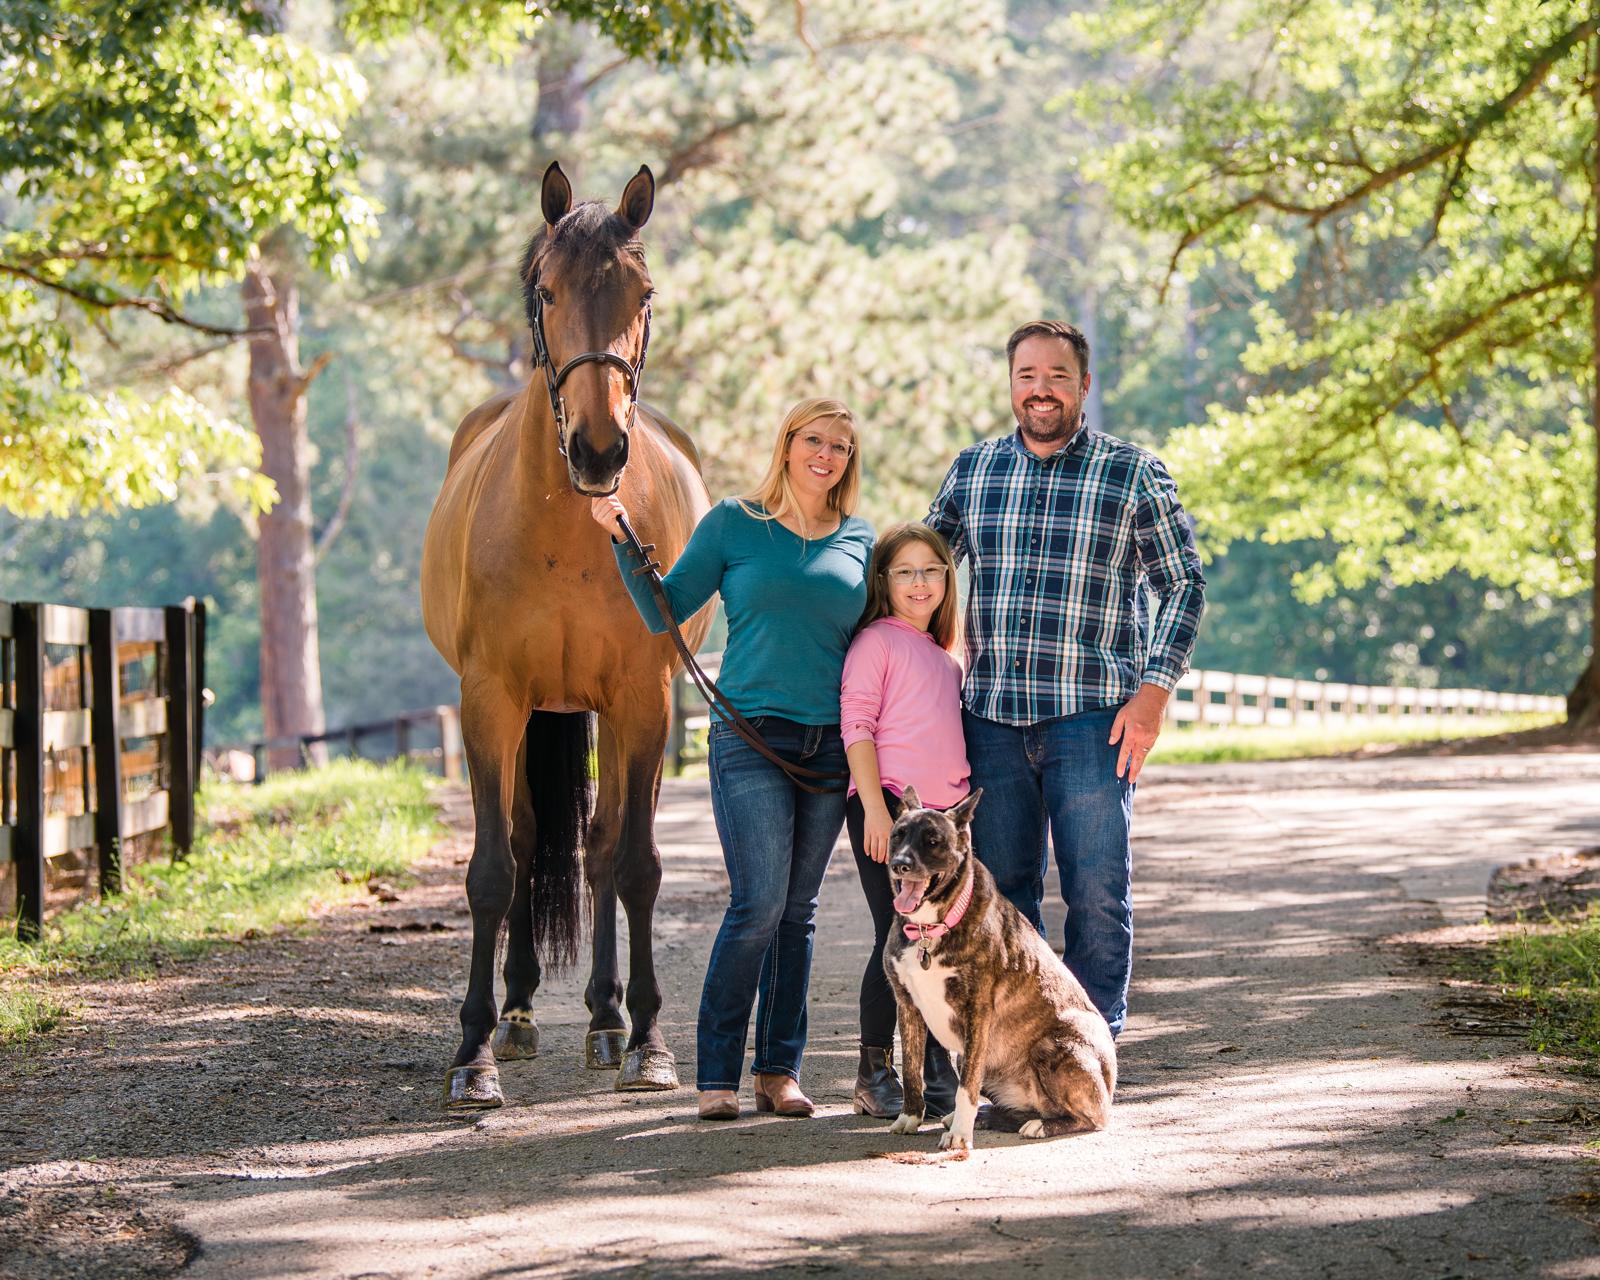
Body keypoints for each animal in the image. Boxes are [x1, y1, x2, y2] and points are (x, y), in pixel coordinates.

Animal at [420, 161, 713, 1108]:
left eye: (642, 293)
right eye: (546, 291)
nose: (598, 450)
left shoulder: (643, 702)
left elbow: (635, 865)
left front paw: (649, 1042)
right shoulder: (490, 701)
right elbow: (492, 869)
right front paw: (472, 1052)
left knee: (597, 850)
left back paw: (607, 1017)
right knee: (522, 842)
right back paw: (516, 1015)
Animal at [884, 786, 1116, 1150]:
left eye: (933, 841)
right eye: (899, 835)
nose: (900, 865)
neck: (929, 930)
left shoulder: (978, 1013)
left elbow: (966, 1087)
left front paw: (960, 1136)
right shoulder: (907, 1006)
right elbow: (911, 1069)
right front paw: (909, 1117)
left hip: (1056, 1045)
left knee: (1093, 1119)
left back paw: (1038, 1125)